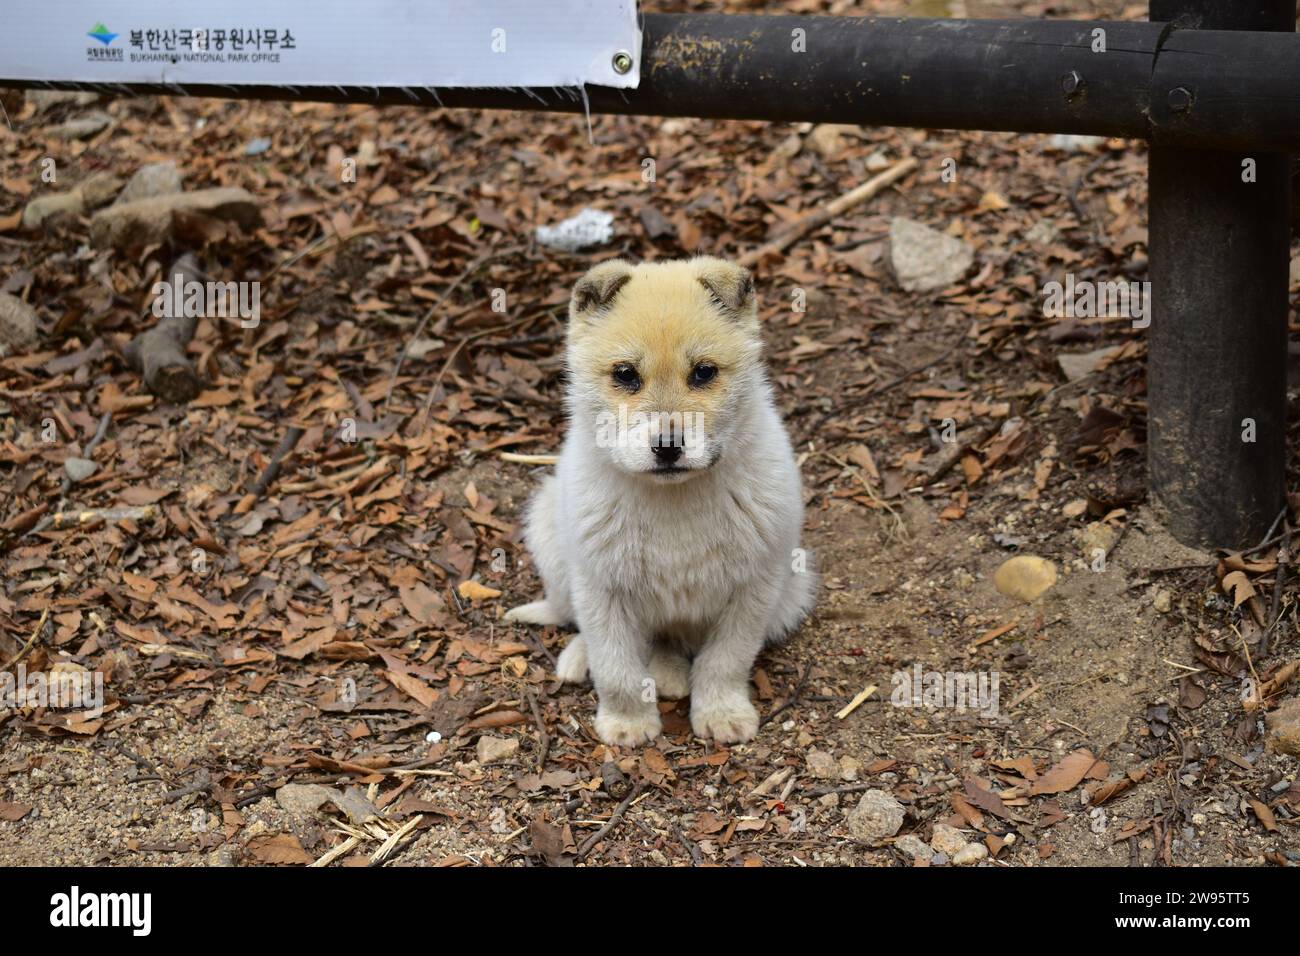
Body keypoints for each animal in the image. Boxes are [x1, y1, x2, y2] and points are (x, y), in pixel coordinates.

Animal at [504, 256, 811, 749]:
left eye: (704, 372)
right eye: (625, 374)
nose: (668, 447)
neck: (673, 499)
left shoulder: (753, 590)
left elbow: (725, 660)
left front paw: (722, 713)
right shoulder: (600, 587)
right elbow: (616, 668)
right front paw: (627, 723)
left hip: (793, 592)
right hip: (551, 537)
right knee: (575, 619)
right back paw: (578, 658)